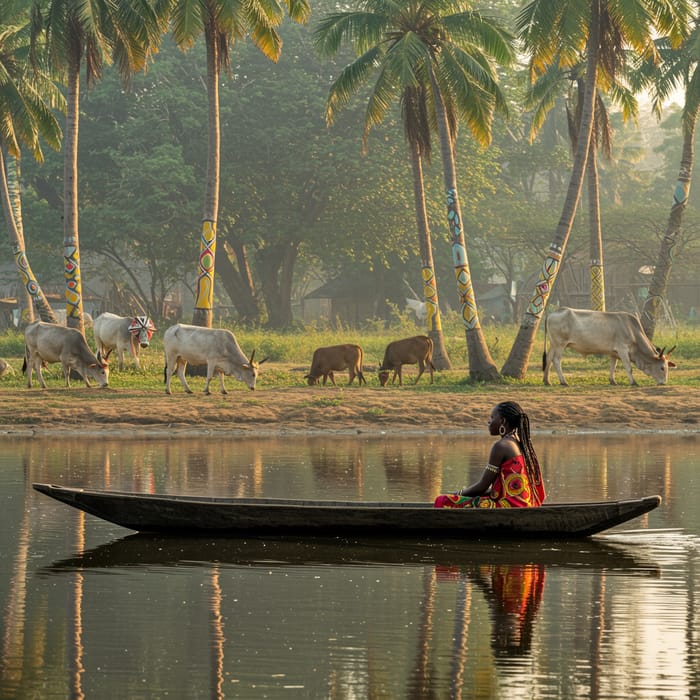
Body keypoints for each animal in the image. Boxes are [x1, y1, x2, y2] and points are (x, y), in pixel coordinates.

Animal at [544, 308, 676, 386]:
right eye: (662, 368)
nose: (664, 383)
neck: (632, 330)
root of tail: (552, 313)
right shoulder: (622, 349)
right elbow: (629, 368)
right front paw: (633, 382)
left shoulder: (614, 353)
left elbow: (613, 367)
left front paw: (613, 381)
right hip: (560, 344)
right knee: (556, 360)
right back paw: (563, 381)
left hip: (553, 344)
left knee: (549, 359)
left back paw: (547, 381)